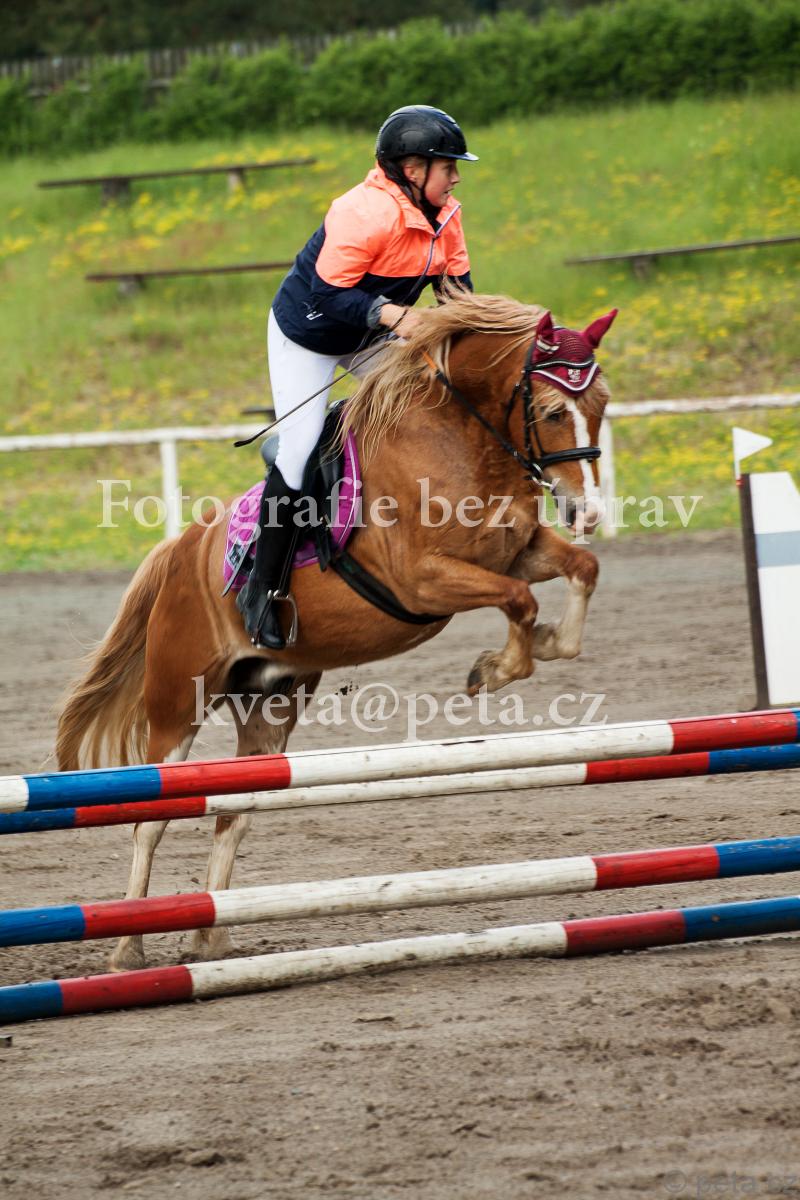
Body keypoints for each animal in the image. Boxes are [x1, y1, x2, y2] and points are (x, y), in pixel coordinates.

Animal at [56, 288, 616, 972]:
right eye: (550, 410)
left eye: (601, 406)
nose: (586, 512)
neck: (460, 440)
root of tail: (181, 551)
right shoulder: (423, 580)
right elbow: (520, 601)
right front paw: (494, 669)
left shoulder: (517, 550)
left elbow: (579, 571)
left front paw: (542, 646)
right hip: (177, 703)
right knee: (153, 818)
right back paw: (129, 947)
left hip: (270, 702)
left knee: (235, 809)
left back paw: (211, 937)